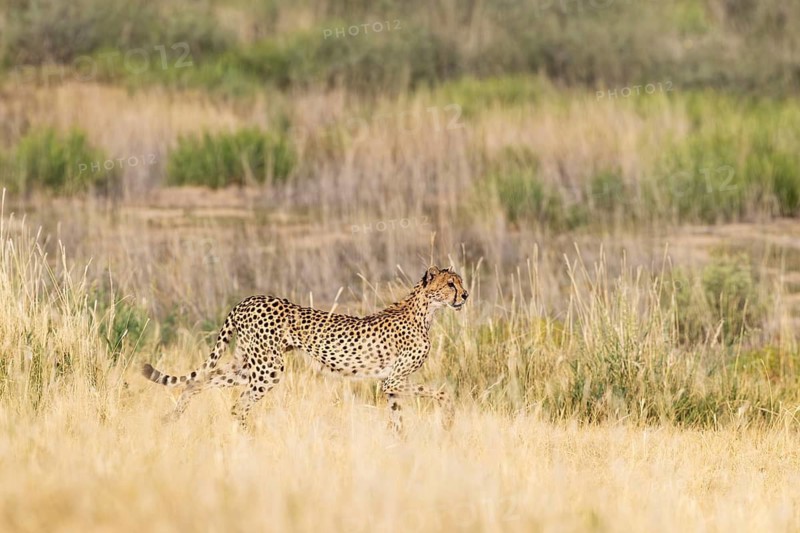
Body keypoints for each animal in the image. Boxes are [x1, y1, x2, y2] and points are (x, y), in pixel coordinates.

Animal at [141, 266, 469, 433]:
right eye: (450, 284)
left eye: (460, 282)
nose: (465, 295)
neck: (425, 311)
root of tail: (247, 299)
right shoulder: (393, 380)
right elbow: (443, 393)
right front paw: (449, 421)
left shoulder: (390, 383)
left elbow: (398, 419)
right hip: (268, 368)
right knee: (239, 403)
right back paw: (250, 439)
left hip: (247, 364)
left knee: (199, 382)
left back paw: (173, 417)